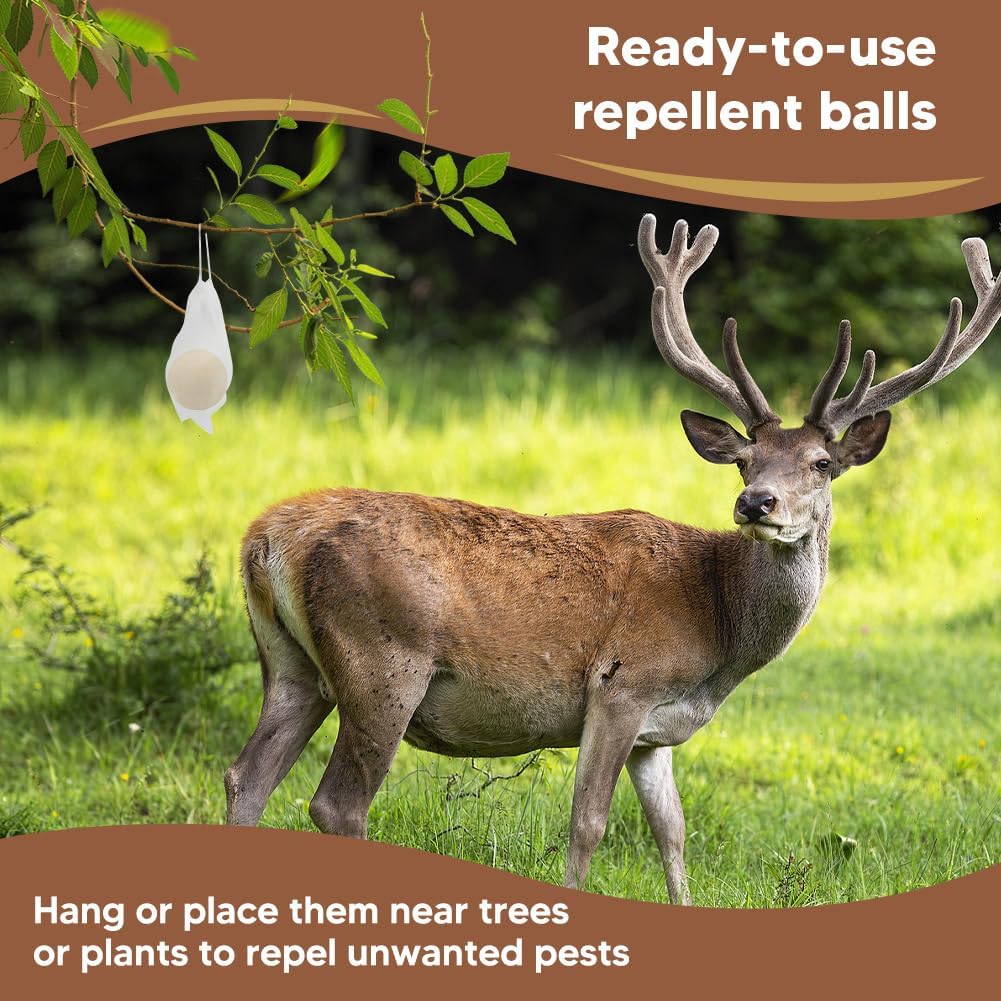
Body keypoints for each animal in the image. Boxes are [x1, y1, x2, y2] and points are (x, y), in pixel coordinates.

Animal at [225, 215, 1001, 904]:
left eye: (820, 463)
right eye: (745, 460)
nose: (756, 503)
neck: (719, 631)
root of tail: (265, 536)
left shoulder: (656, 733)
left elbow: (673, 832)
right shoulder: (621, 685)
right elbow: (588, 824)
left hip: (291, 664)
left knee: (245, 776)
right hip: (383, 660)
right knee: (335, 804)